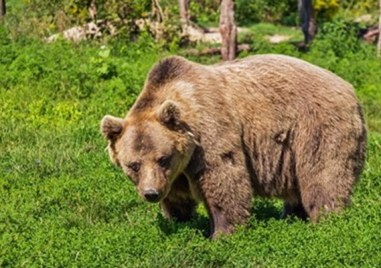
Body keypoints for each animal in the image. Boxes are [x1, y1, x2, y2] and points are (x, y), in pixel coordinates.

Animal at [100, 54, 366, 239]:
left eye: (163, 158)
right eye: (133, 165)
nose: (151, 193)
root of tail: (351, 89)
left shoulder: (209, 134)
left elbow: (224, 180)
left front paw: (222, 233)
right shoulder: (176, 171)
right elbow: (177, 197)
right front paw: (178, 221)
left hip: (316, 128)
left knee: (323, 176)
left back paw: (326, 220)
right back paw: (292, 215)